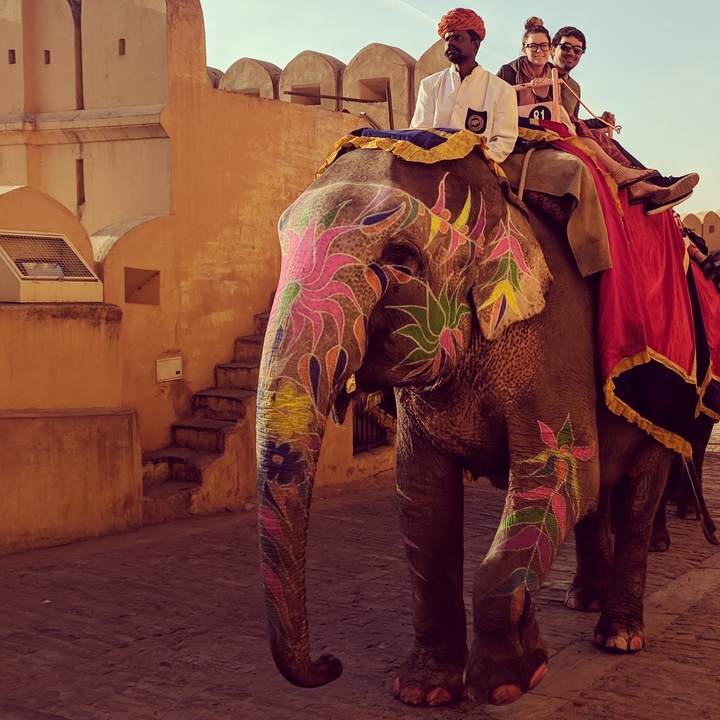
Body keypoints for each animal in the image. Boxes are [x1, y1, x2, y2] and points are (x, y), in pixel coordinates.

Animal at [255, 136, 675, 706]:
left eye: (401, 258)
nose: (329, 663)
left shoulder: (554, 340)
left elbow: (559, 475)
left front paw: (503, 685)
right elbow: (423, 501)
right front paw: (426, 690)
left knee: (635, 499)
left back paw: (620, 637)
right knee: (599, 497)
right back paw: (583, 601)